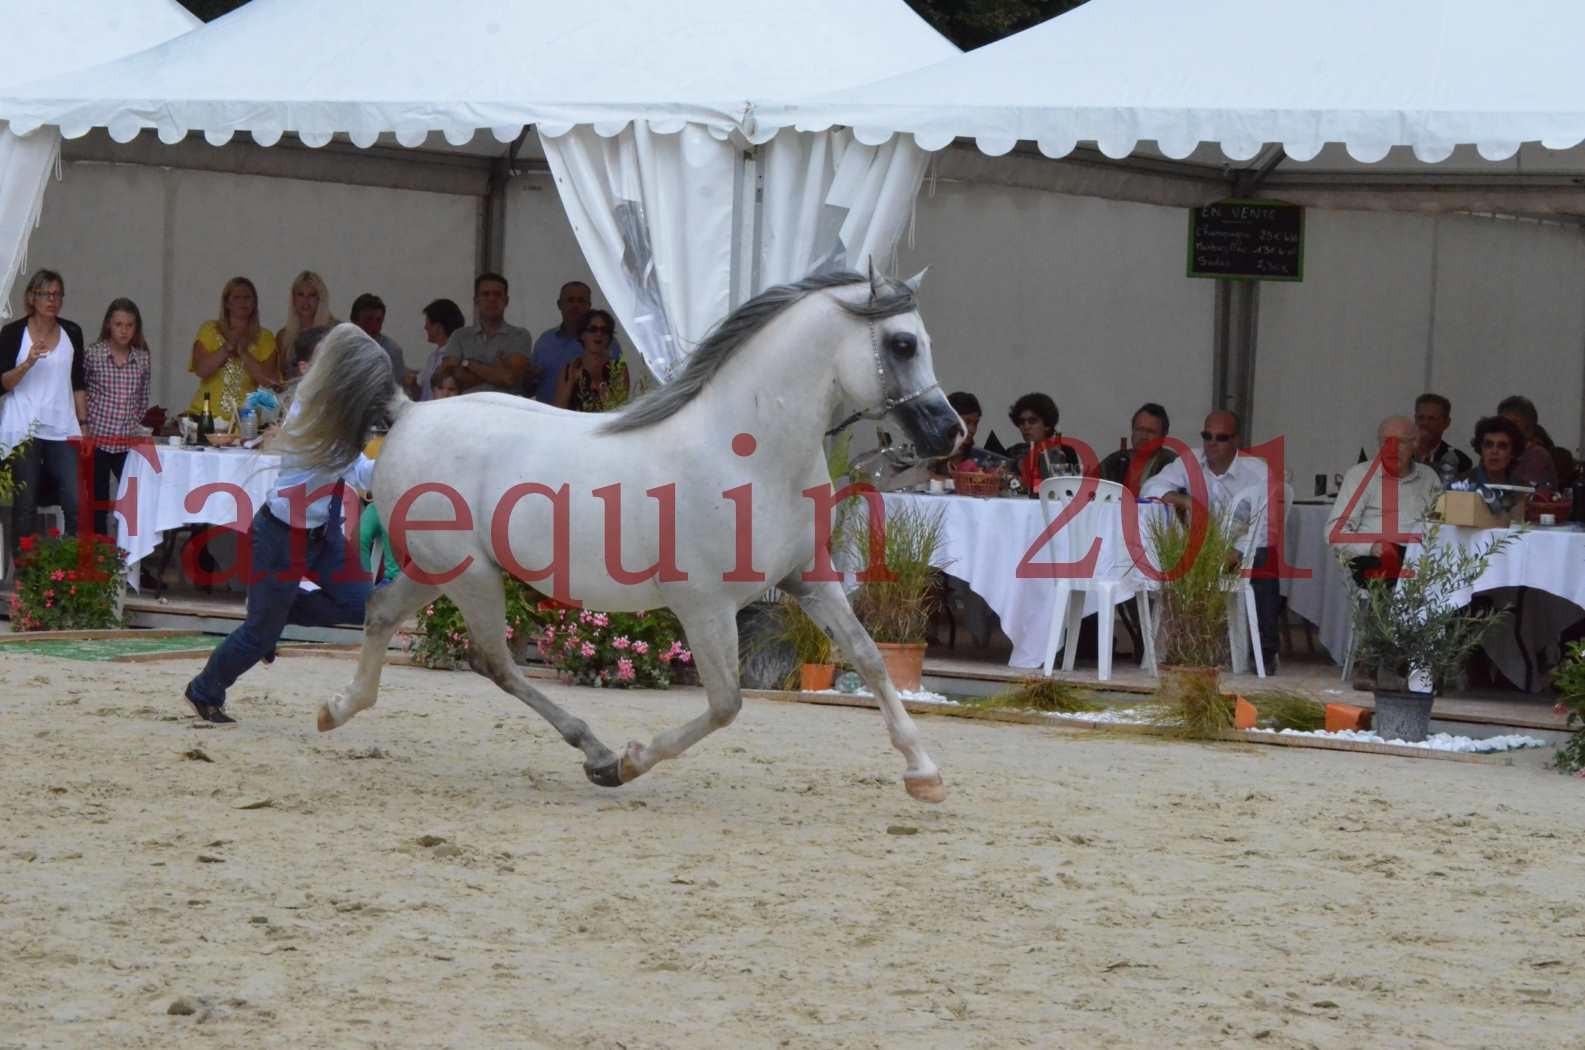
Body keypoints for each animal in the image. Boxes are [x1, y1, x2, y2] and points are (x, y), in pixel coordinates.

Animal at [277, 271, 957, 805]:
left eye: (925, 341)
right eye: (902, 343)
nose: (947, 432)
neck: (747, 451)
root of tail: (409, 412)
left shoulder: (809, 578)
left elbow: (870, 659)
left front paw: (924, 773)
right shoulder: (704, 605)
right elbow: (726, 703)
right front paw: (630, 763)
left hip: (439, 569)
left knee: (385, 612)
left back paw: (337, 709)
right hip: (467, 572)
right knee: (492, 659)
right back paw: (598, 754)